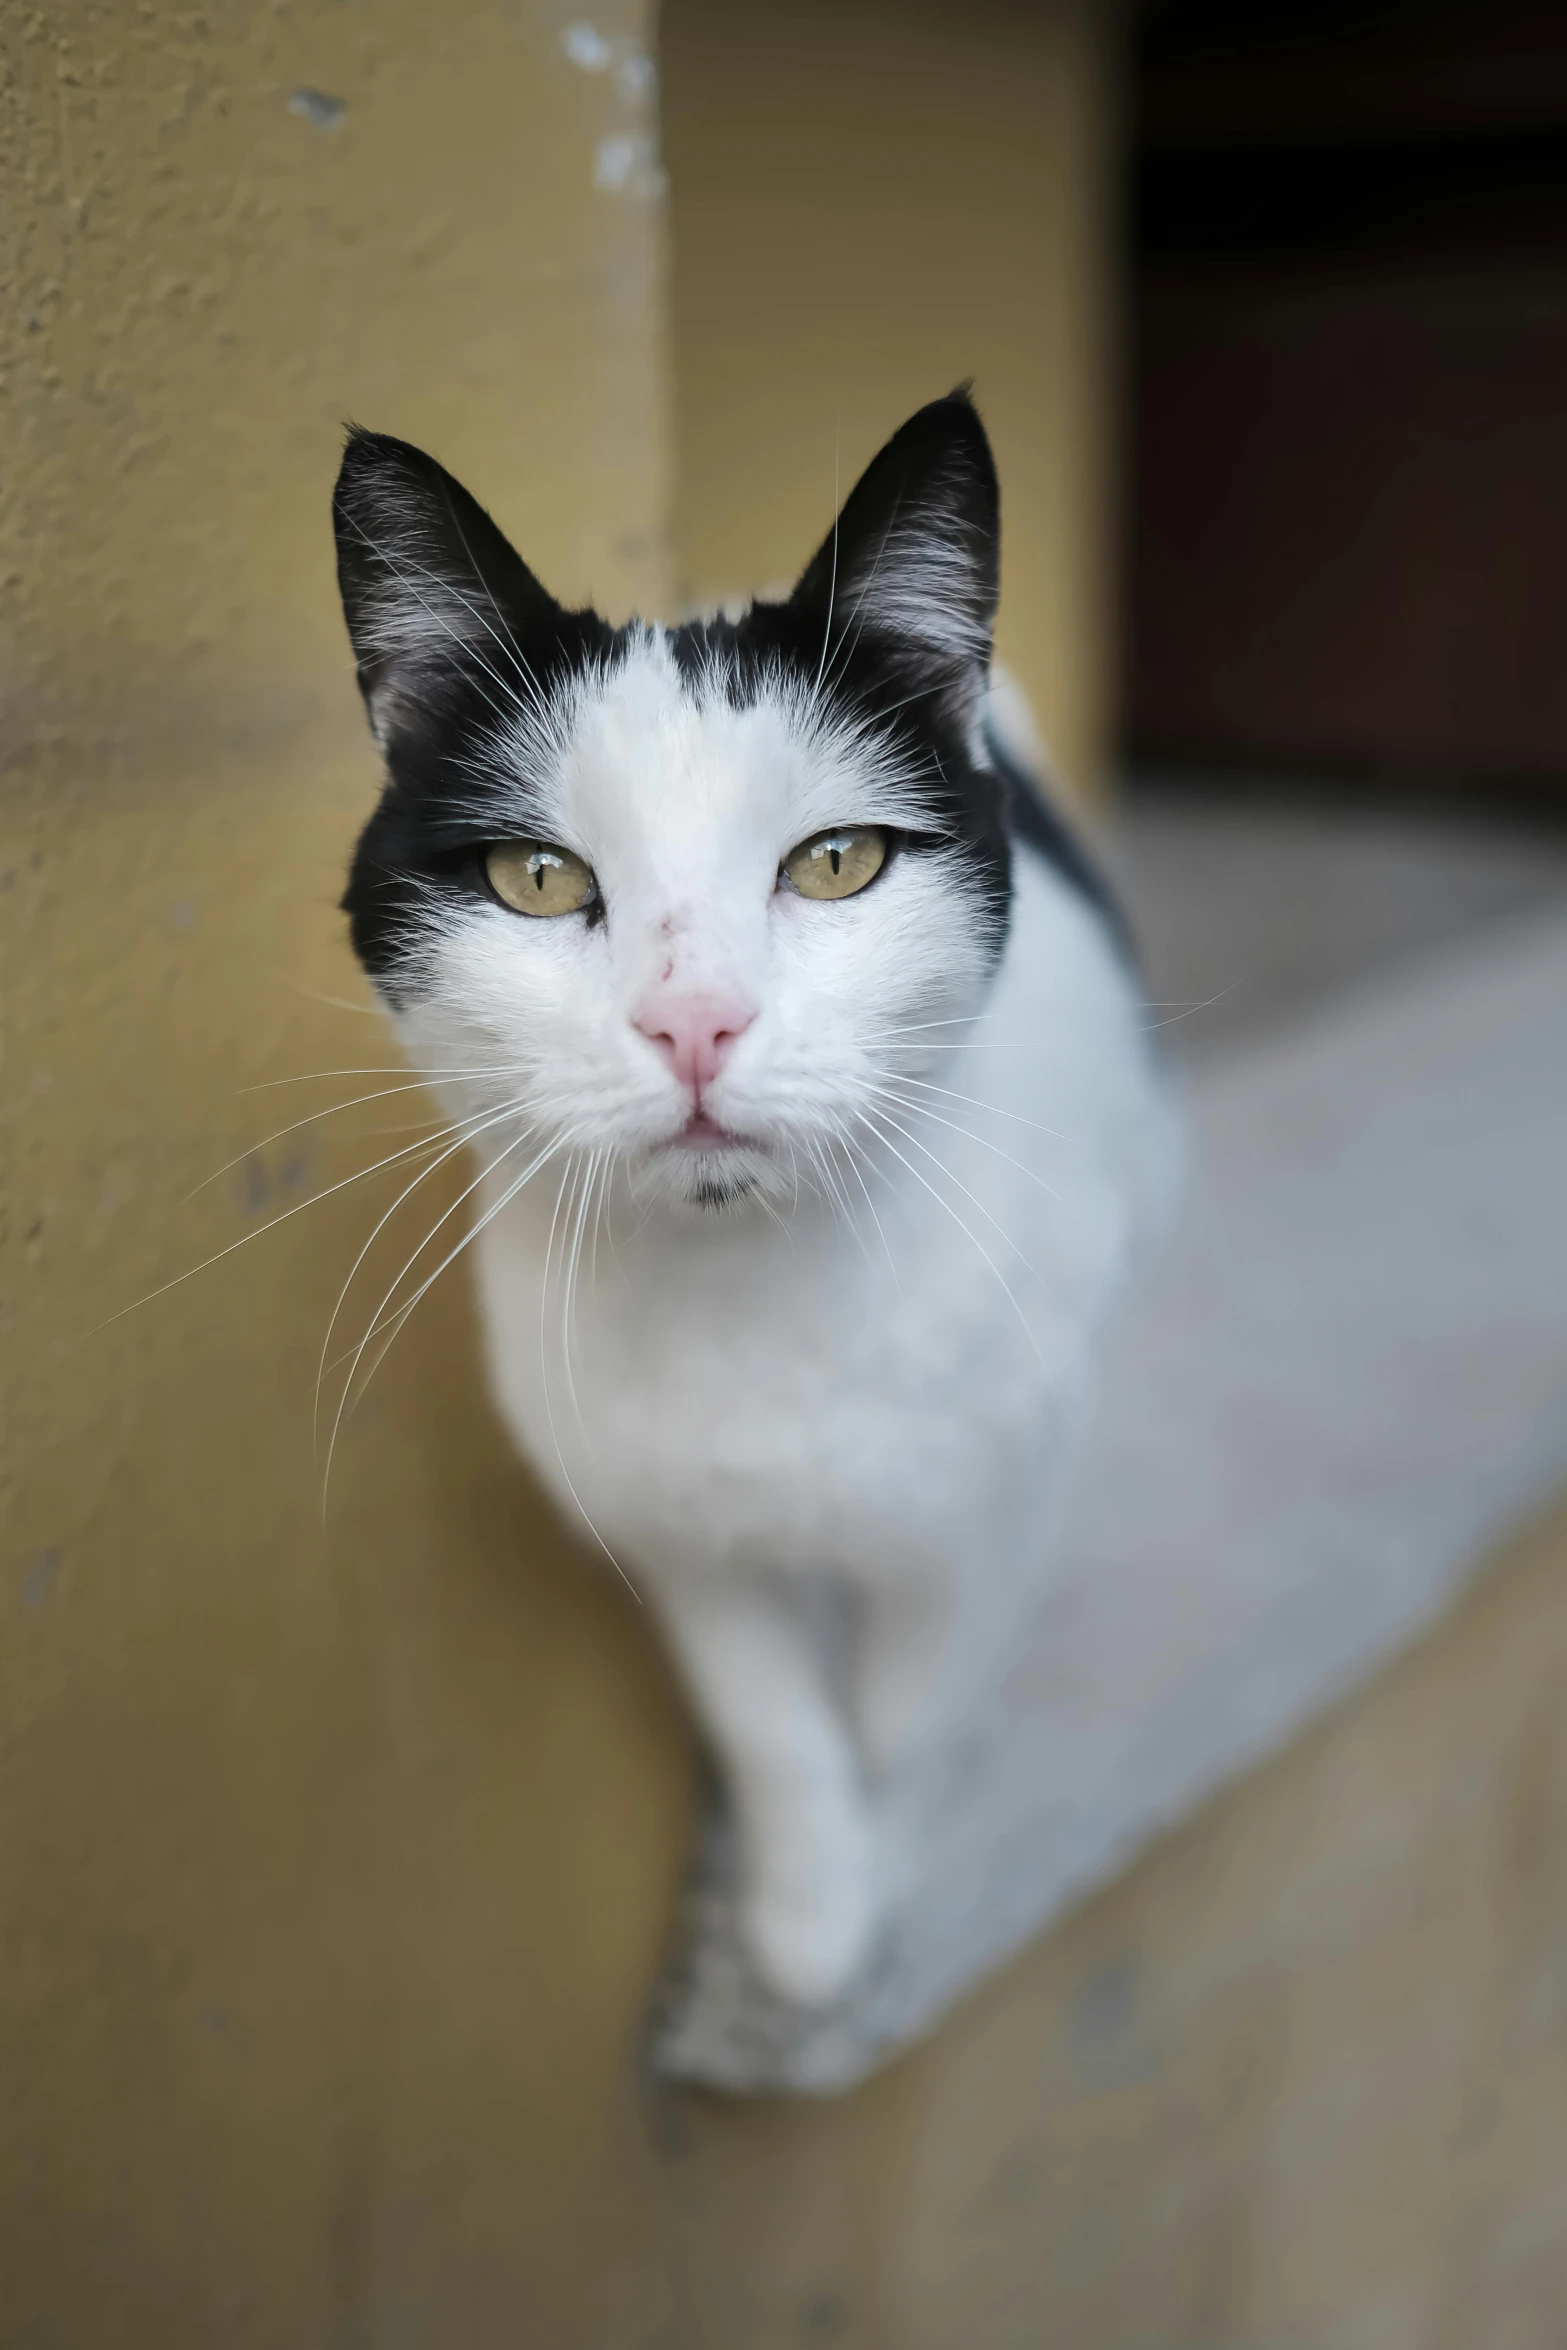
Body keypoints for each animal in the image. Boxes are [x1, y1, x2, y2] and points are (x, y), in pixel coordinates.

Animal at [333, 394, 1174, 2011]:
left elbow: (910, 1705)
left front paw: (879, 1888)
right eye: (537, 877)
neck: (753, 1290)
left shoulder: (1002, 1483)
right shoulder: (667, 1526)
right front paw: (805, 1911)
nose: (693, 1022)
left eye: (834, 861)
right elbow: (772, 1722)